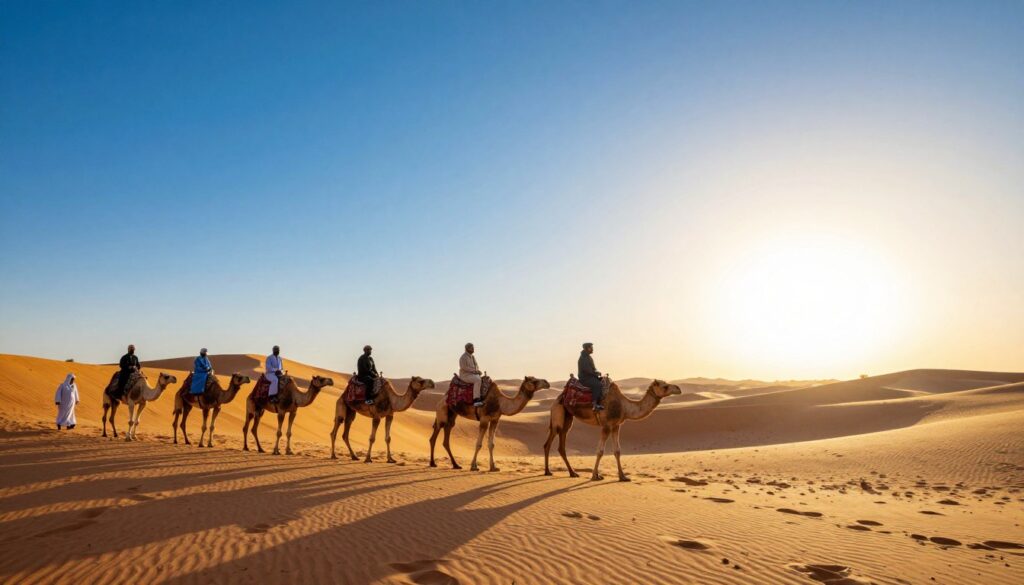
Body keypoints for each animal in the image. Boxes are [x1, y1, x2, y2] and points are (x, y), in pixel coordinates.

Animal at [543, 377, 681, 481]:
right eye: (665, 386)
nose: (678, 389)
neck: (624, 406)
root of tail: (557, 398)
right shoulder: (606, 425)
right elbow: (600, 451)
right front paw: (595, 476)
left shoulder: (616, 425)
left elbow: (617, 451)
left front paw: (623, 476)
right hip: (558, 415)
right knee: (550, 441)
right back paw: (550, 472)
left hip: (567, 418)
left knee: (560, 445)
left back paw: (570, 473)